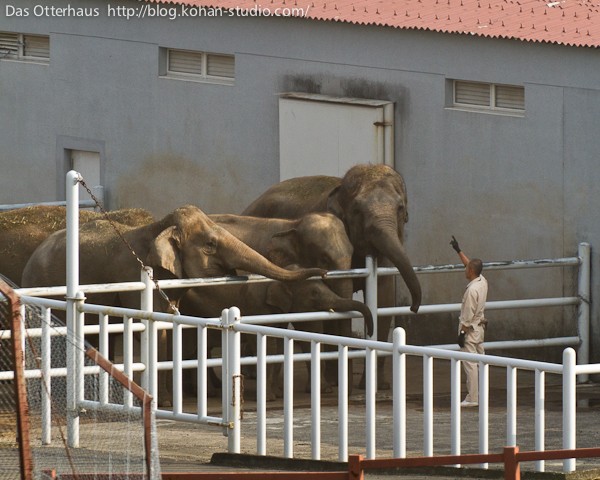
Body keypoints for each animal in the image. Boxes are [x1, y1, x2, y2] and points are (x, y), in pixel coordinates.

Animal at [21, 204, 326, 406]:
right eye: (210, 244)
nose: (323, 273)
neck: (156, 229)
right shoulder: (134, 275)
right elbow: (150, 329)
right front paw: (157, 402)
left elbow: (166, 329)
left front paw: (165, 402)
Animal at [243, 163, 422, 388]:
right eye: (357, 210)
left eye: (400, 208)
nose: (414, 308)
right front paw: (335, 383)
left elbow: (384, 297)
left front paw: (376, 386)